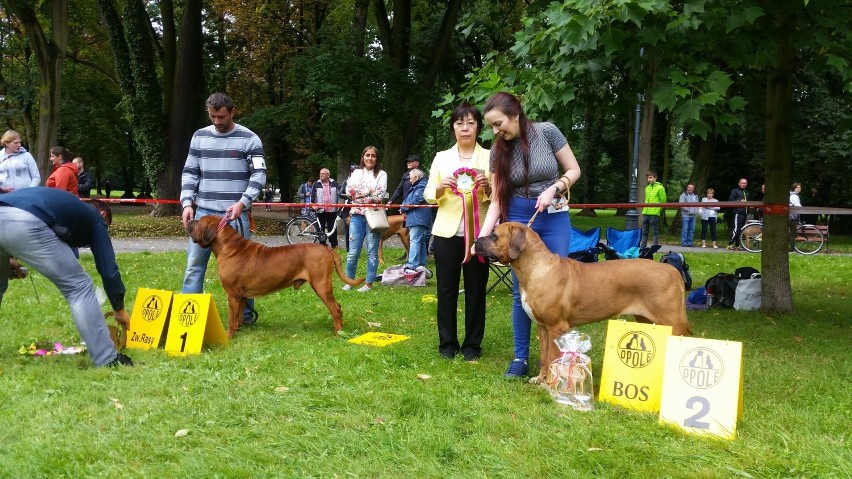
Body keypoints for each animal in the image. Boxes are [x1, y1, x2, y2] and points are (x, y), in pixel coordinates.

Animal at [185, 216, 364, 340]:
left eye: (199, 221)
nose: (189, 220)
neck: (229, 248)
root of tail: (326, 249)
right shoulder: (241, 296)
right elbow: (237, 317)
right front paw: (238, 330)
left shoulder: (232, 294)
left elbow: (231, 318)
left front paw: (228, 336)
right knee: (338, 307)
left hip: (321, 285)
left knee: (335, 308)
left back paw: (338, 332)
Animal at [476, 221, 688, 382]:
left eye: (494, 235)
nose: (476, 240)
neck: (536, 269)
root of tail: (673, 271)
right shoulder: (542, 327)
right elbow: (544, 356)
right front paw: (540, 378)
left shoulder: (557, 327)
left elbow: (552, 356)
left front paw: (550, 383)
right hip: (647, 320)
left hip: (672, 322)